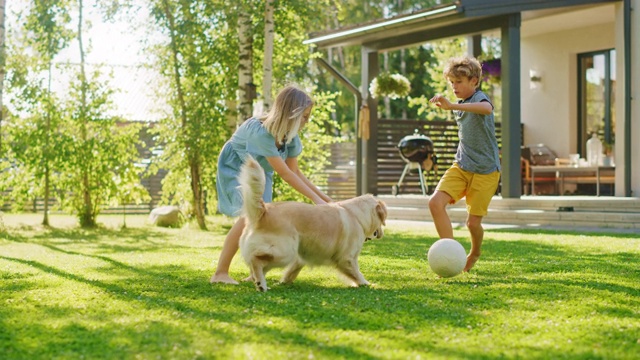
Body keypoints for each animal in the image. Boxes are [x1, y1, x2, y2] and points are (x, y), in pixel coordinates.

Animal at [239, 156, 384, 292]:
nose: (381, 235)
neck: (356, 215)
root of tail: (264, 211)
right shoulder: (347, 258)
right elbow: (357, 273)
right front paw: (366, 283)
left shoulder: (301, 256)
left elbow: (292, 271)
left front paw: (285, 281)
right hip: (285, 252)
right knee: (256, 260)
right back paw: (261, 284)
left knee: (258, 265)